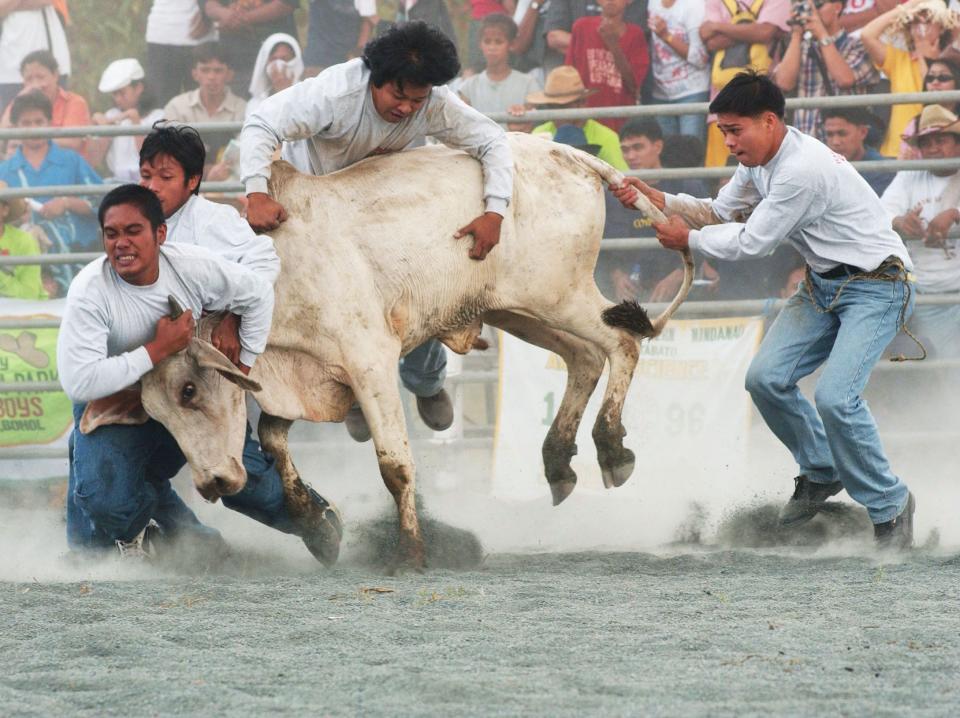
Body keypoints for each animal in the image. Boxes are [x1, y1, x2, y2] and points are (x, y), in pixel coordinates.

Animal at [135, 132, 688, 572]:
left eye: (189, 390)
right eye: (153, 412)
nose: (213, 482)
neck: (275, 274)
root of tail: (569, 155)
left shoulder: (370, 362)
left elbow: (394, 466)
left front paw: (410, 554)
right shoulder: (298, 376)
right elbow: (273, 440)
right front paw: (317, 526)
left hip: (562, 297)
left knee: (621, 343)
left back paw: (611, 448)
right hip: (517, 311)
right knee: (585, 359)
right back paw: (557, 462)